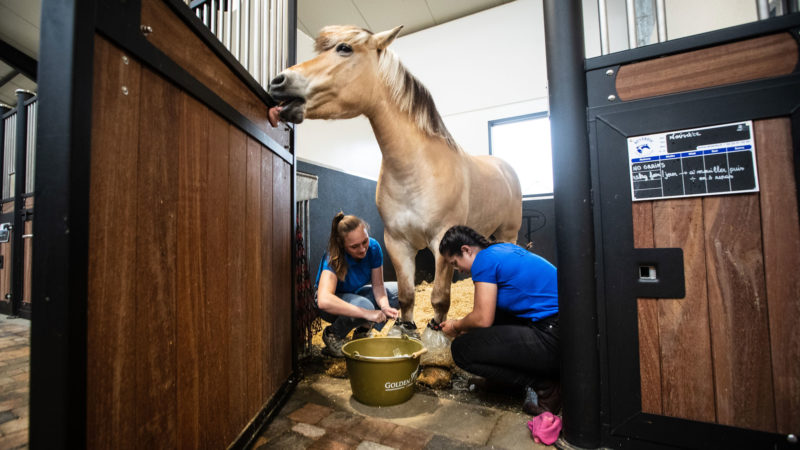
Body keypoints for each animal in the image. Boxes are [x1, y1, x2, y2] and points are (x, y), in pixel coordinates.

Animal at [268, 25, 520, 334]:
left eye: (344, 48)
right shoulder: (397, 242)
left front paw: (437, 335)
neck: (416, 171)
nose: (278, 81)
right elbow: (406, 293)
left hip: (508, 233)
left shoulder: (442, 241)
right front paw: (405, 328)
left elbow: (440, 297)